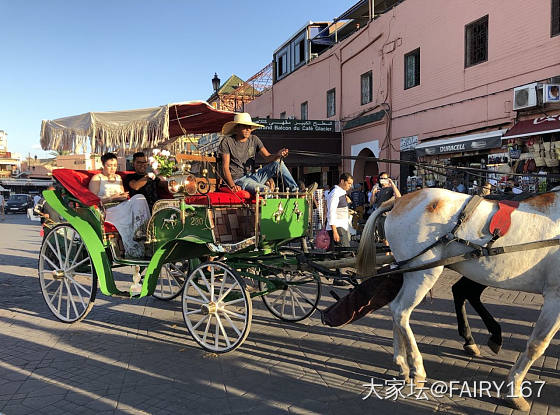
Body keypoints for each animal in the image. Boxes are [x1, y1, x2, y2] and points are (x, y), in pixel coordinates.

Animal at [358, 189, 560, 412]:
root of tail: (400, 200)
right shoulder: (555, 295)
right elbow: (537, 344)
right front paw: (514, 391)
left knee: (396, 309)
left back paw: (402, 364)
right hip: (423, 272)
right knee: (401, 312)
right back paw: (417, 369)